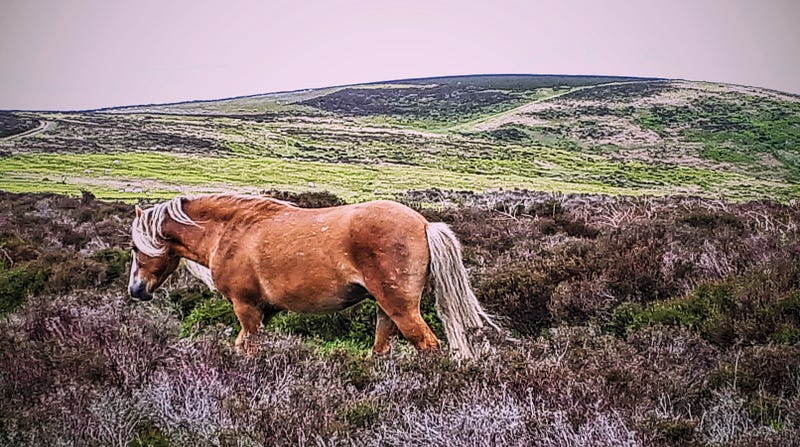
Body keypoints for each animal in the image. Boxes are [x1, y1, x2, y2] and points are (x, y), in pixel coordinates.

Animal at [127, 194, 496, 358]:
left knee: (428, 345)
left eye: (134, 246)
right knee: (381, 350)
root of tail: (423, 224)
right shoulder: (263, 312)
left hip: (401, 309)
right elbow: (242, 346)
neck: (230, 232)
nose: (135, 290)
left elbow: (249, 349)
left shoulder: (246, 307)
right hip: (385, 310)